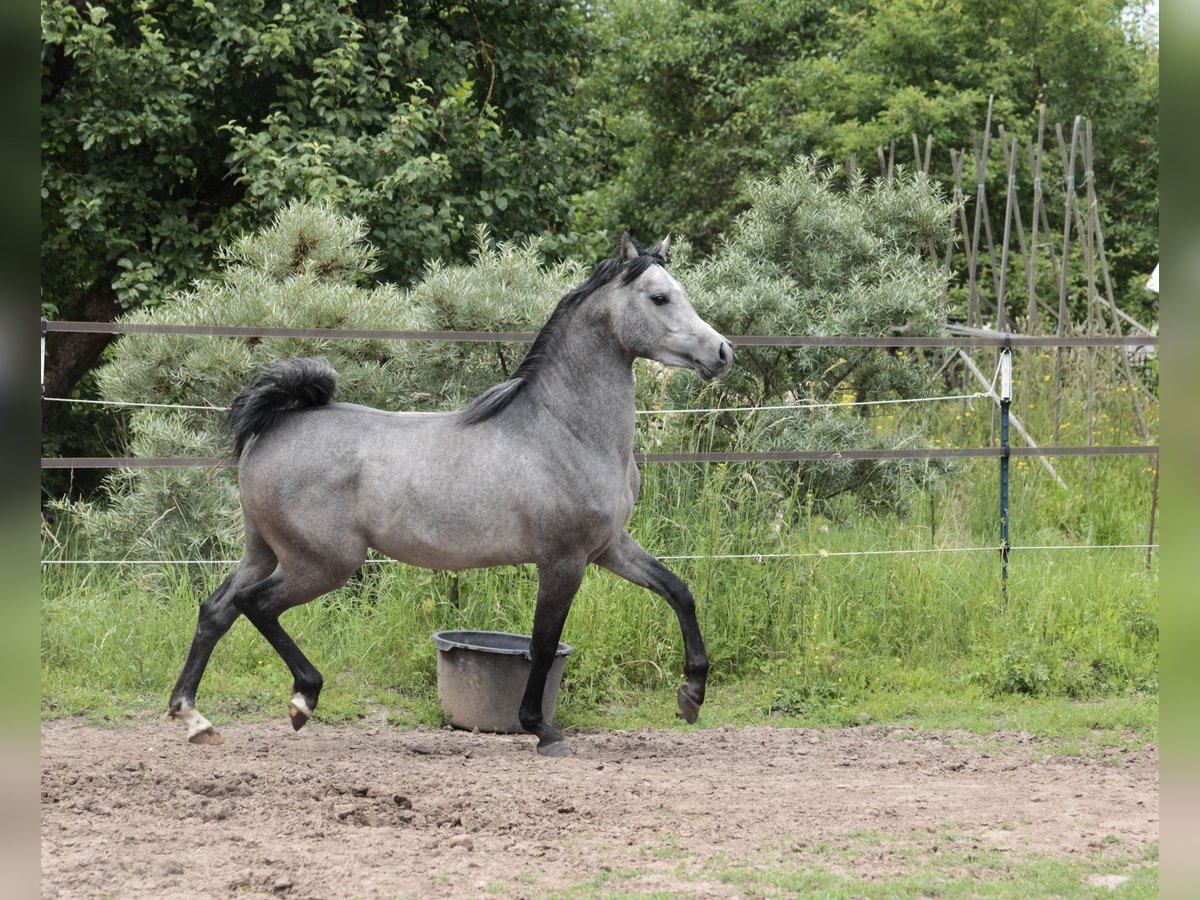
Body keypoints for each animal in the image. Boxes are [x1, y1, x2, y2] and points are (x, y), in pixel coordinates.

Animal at [168, 232, 729, 753]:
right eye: (659, 297)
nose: (722, 351)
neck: (565, 430)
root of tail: (274, 426)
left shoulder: (609, 547)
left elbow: (679, 591)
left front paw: (692, 695)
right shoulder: (563, 560)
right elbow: (543, 643)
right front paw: (541, 729)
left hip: (264, 551)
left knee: (216, 609)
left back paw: (194, 719)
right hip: (323, 562)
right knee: (254, 605)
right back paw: (302, 698)